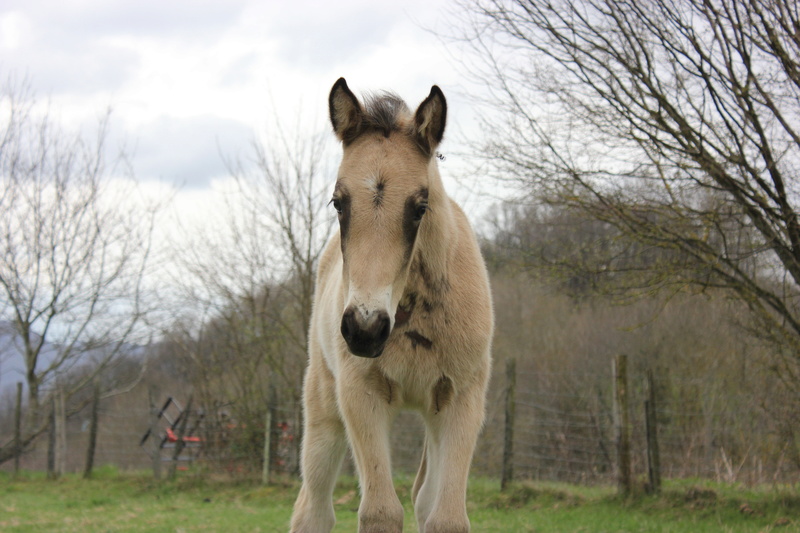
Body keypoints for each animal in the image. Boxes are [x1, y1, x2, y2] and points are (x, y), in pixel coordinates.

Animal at [290, 79, 490, 532]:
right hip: (324, 405)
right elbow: (380, 510)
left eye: (420, 206)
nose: (365, 329)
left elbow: (446, 517)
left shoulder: (462, 398)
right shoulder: (360, 395)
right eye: (338, 202)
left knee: (424, 496)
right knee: (313, 506)